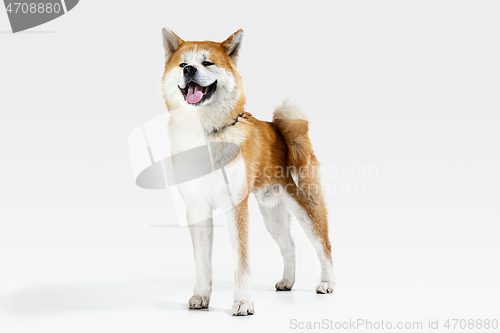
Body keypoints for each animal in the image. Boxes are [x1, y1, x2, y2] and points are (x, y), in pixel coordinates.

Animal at [162, 27, 334, 314]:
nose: (190, 70)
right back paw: (287, 282)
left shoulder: (236, 207)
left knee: (324, 246)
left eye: (207, 62)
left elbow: (241, 262)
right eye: (183, 64)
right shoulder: (197, 207)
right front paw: (201, 296)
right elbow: (202, 261)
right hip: (271, 214)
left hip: (306, 206)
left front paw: (243, 302)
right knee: (290, 246)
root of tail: (281, 129)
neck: (206, 135)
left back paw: (327, 283)